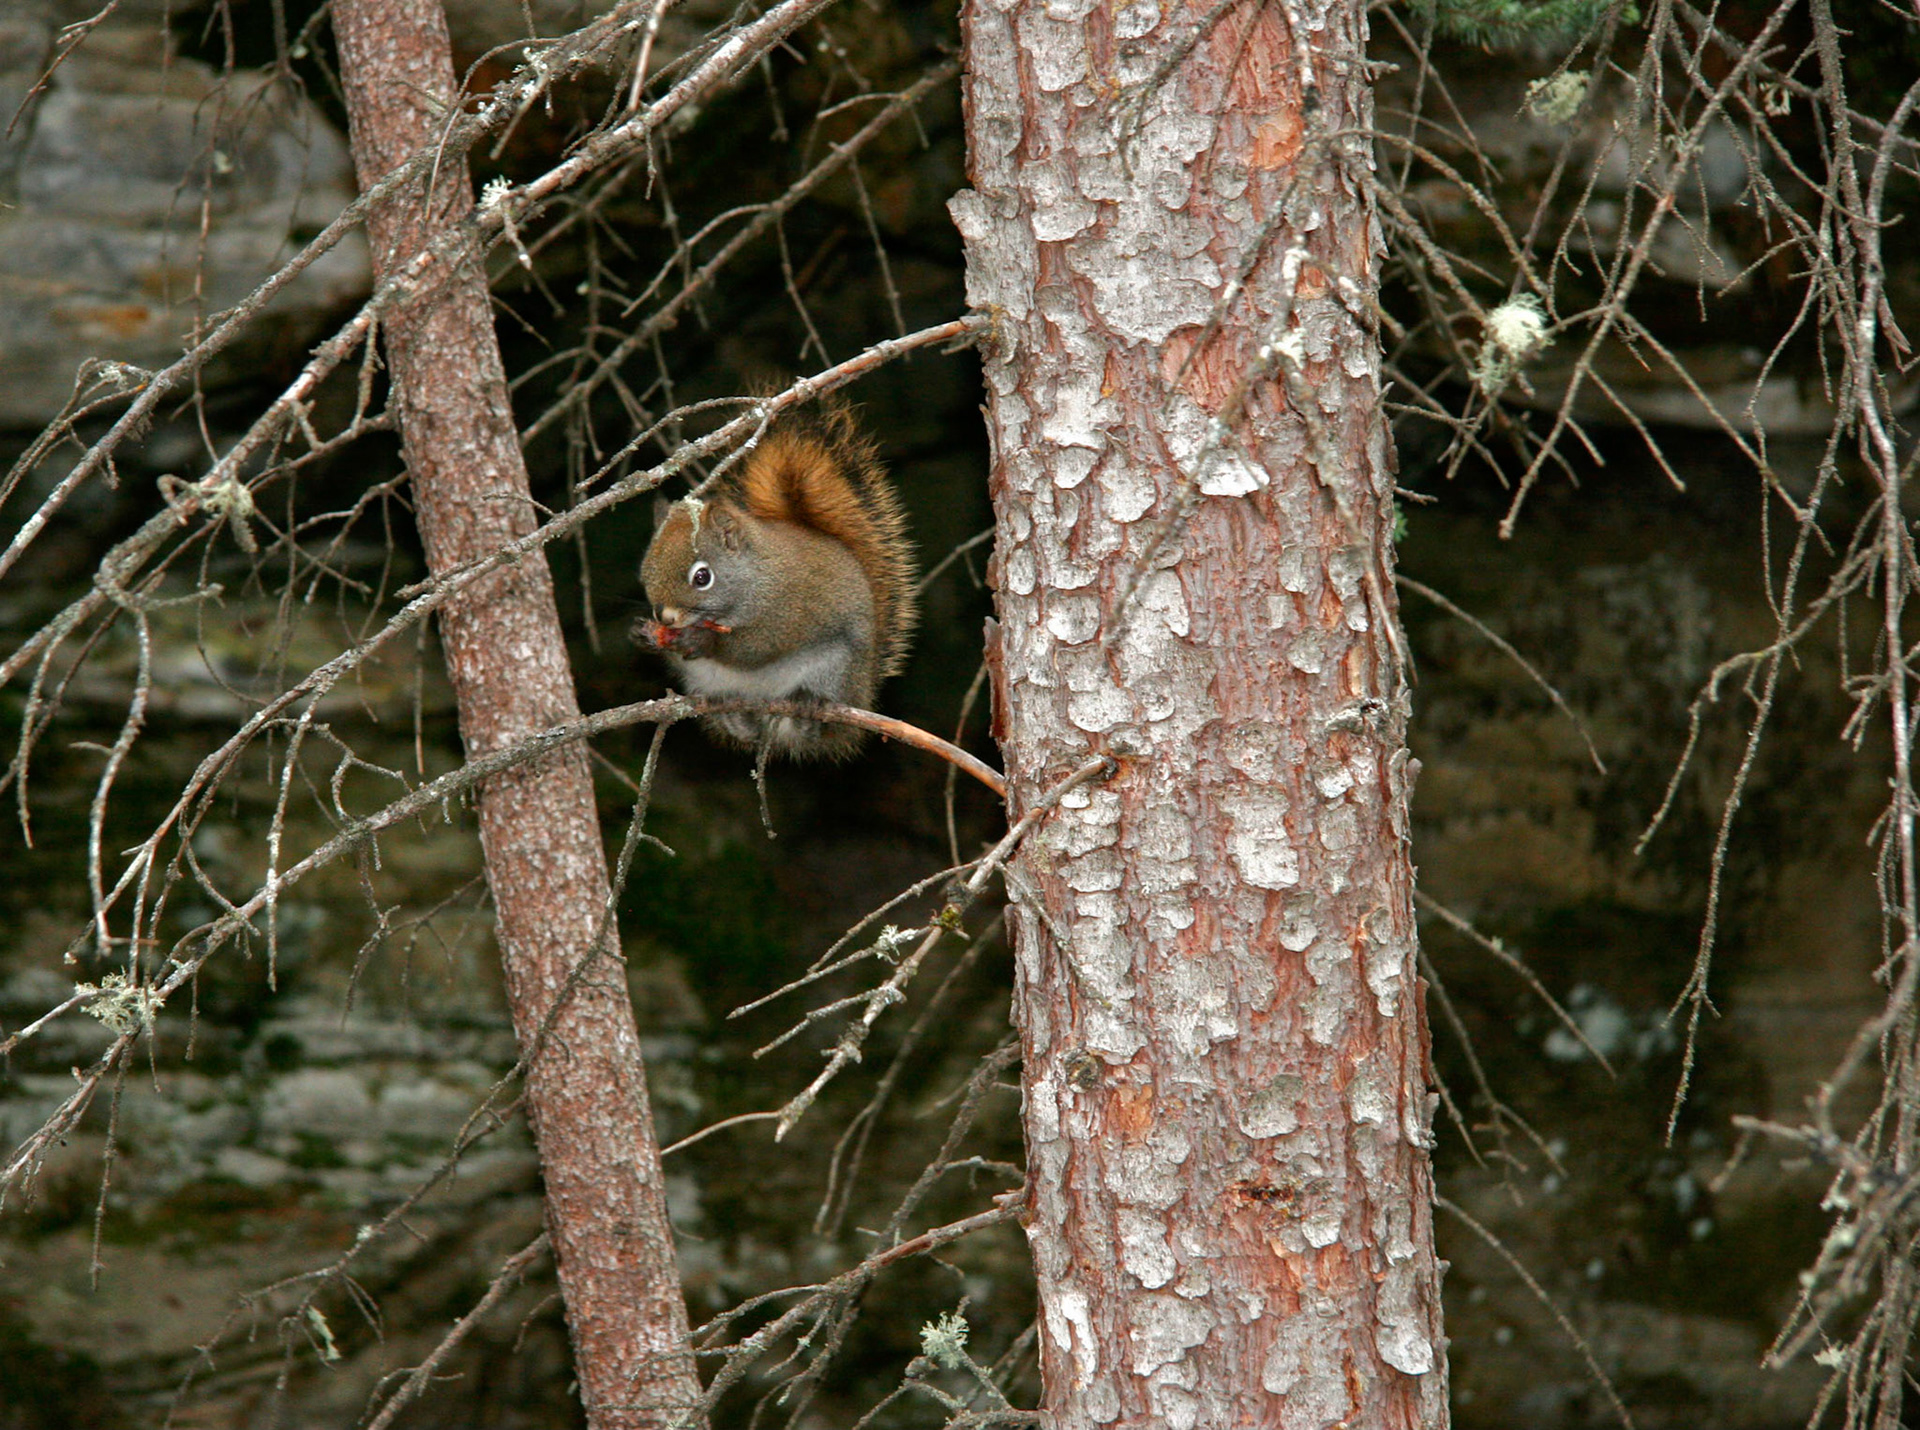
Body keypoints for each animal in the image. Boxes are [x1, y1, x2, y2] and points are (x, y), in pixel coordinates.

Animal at [632, 405, 917, 759]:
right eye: (645, 573)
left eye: (702, 577)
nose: (666, 618)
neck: (754, 577)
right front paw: (643, 633)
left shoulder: (787, 609)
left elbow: (760, 645)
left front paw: (703, 641)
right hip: (704, 679)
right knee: (748, 726)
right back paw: (734, 717)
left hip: (837, 668)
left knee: (814, 729)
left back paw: (807, 712)